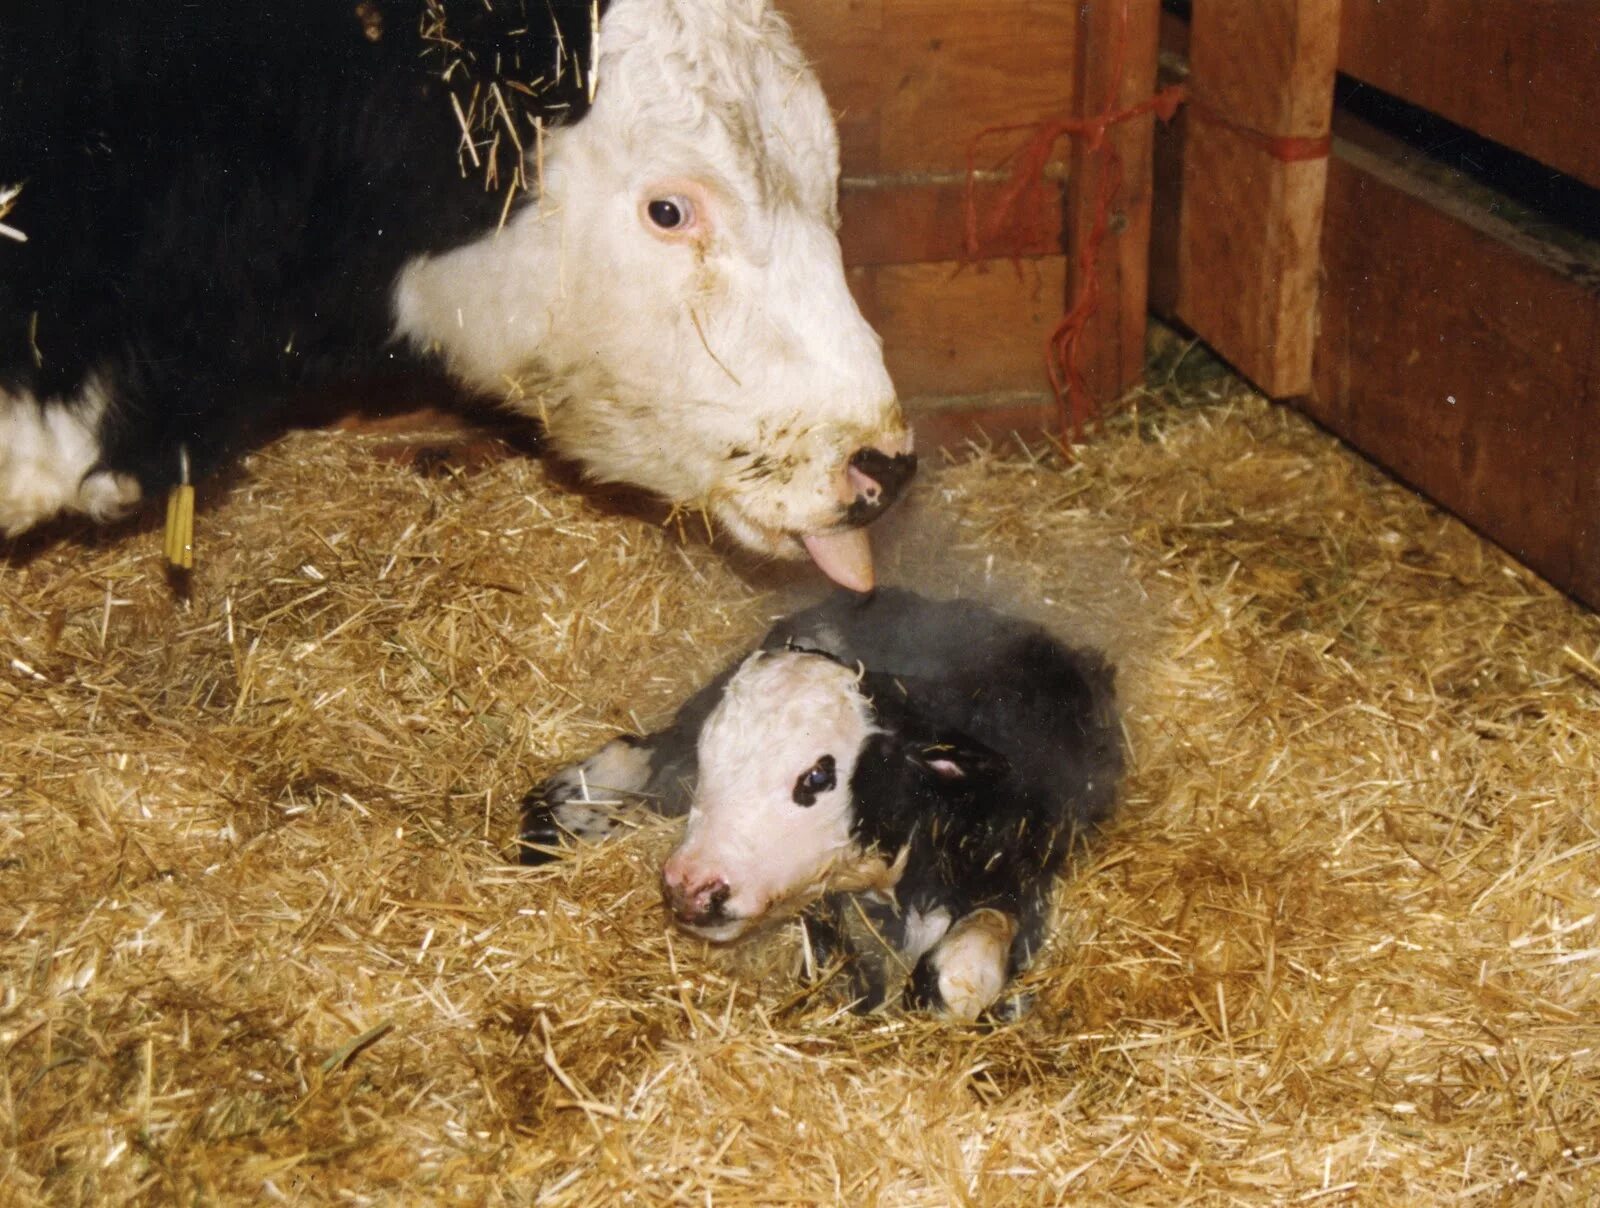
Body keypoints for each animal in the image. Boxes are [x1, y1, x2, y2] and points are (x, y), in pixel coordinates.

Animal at [518, 592, 1120, 1024]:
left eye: (817, 775)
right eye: (713, 752)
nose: (691, 887)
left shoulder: (1026, 870)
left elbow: (961, 970)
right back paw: (560, 810)